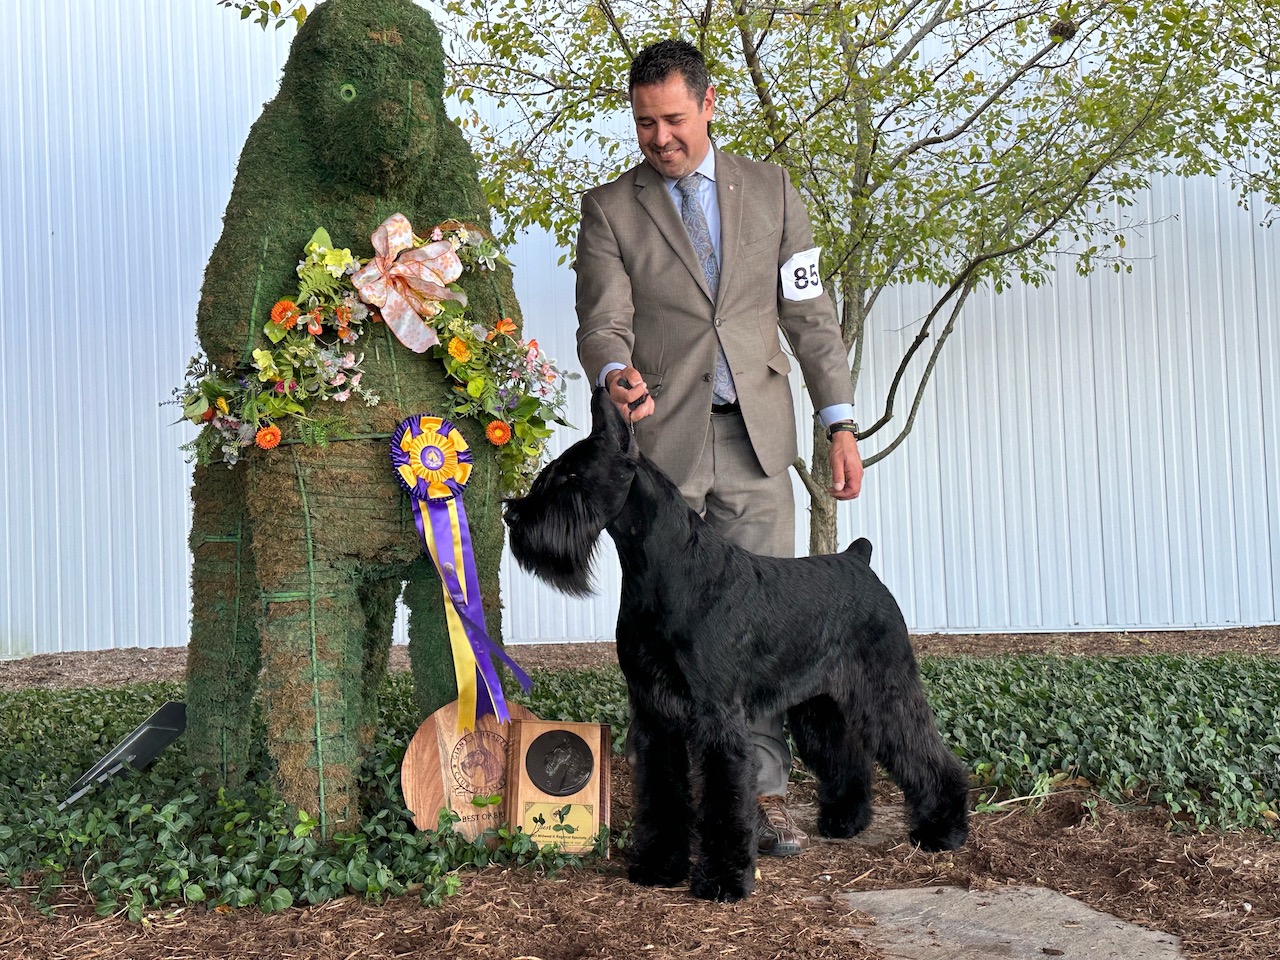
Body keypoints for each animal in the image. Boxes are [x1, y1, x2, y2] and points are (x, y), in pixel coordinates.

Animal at [181, 0, 519, 839]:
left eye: (424, 85)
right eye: (343, 88)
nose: (400, 122)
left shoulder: (461, 556)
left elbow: (454, 665)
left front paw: (472, 818)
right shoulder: (306, 552)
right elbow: (307, 665)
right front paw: (321, 833)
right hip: (232, 524)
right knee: (225, 631)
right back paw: (218, 792)